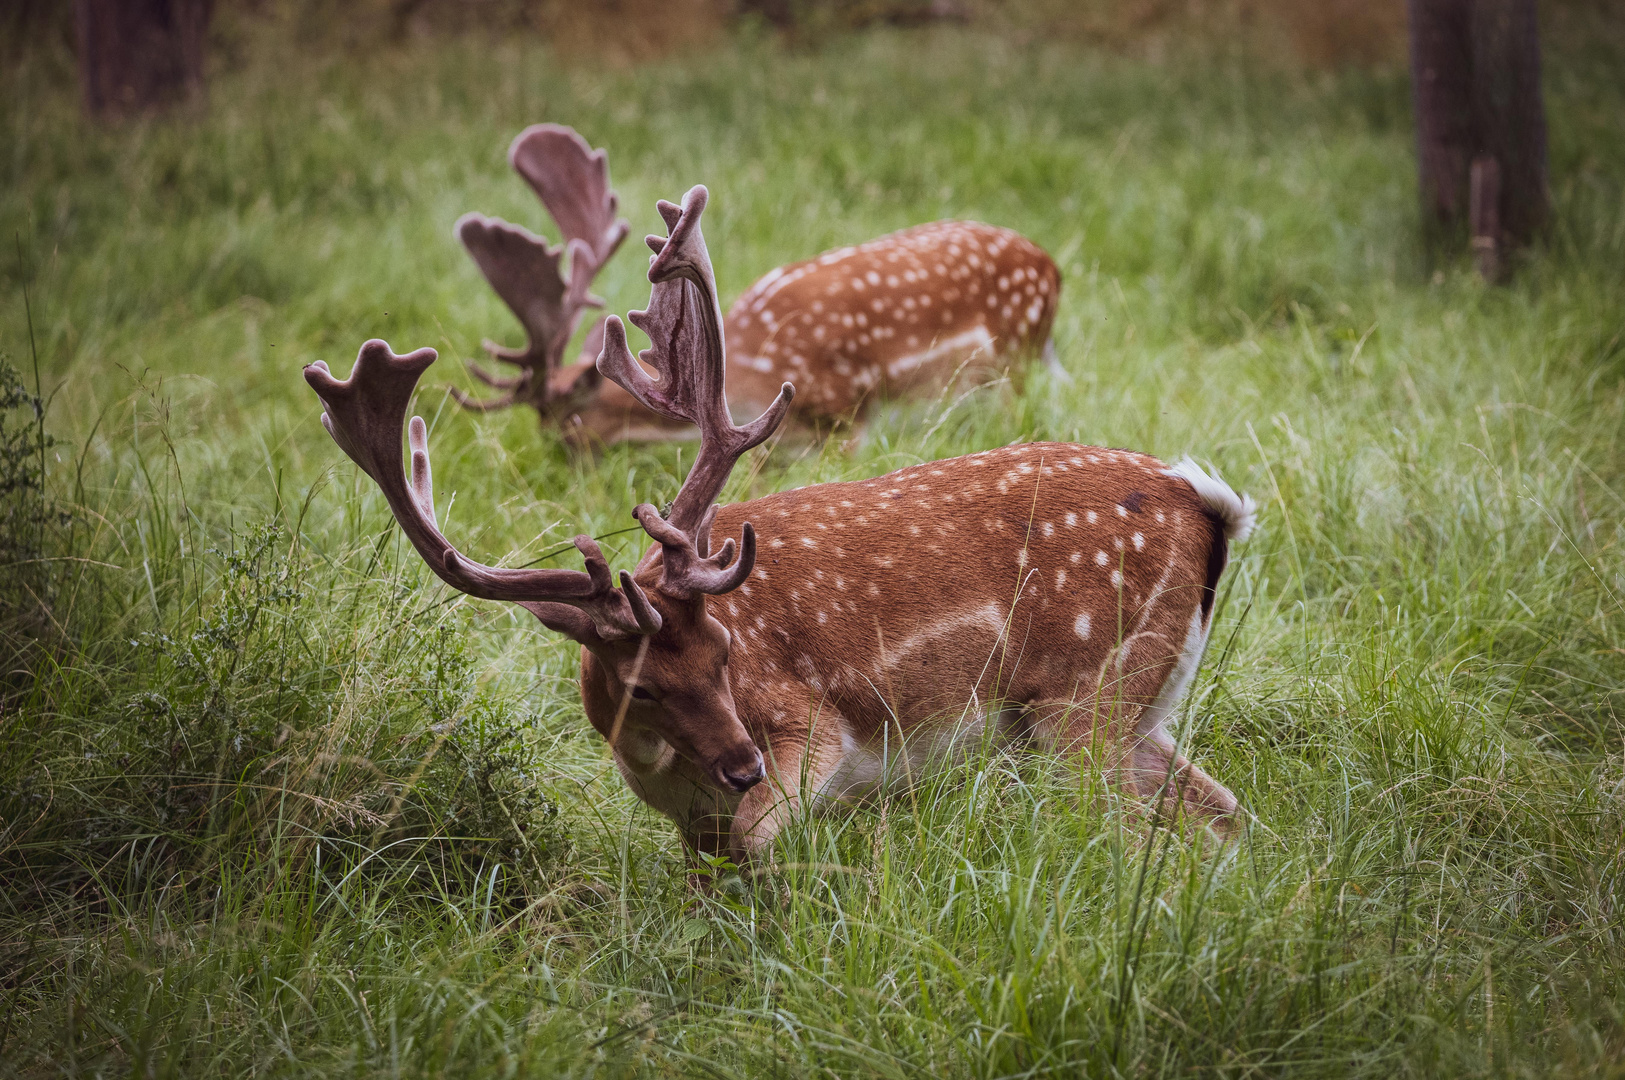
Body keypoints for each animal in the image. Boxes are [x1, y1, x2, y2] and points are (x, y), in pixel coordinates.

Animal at [305, 185, 1248, 870]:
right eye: (641, 682)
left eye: (726, 652)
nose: (740, 764)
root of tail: (1205, 502)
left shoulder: (811, 726)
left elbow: (762, 841)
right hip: (1135, 708)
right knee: (1225, 814)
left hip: (1081, 696)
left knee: (1141, 833)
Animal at [451, 125, 1059, 441]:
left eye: (564, 427)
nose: (556, 474)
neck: (750, 372)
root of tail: (1052, 268)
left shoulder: (846, 414)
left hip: (1014, 364)